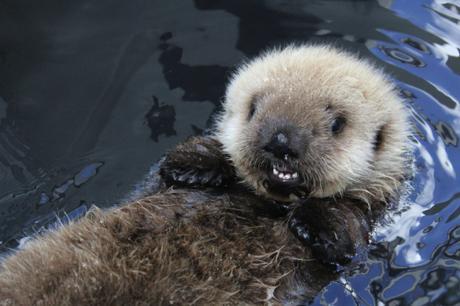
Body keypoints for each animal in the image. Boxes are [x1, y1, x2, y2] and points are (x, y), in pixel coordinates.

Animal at [0, 44, 410, 304]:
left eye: (337, 123)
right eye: (253, 108)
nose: (280, 141)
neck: (265, 202)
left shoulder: (363, 225)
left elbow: (347, 234)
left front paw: (314, 220)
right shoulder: (151, 185)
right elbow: (161, 174)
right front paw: (201, 164)